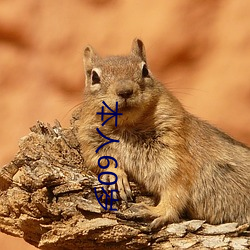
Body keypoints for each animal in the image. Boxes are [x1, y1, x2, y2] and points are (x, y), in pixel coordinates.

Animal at [77, 38, 249, 229]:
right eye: (94, 77)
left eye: (145, 70)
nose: (125, 91)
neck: (127, 127)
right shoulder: (90, 141)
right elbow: (97, 160)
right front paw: (114, 176)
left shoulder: (175, 154)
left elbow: (175, 189)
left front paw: (156, 211)